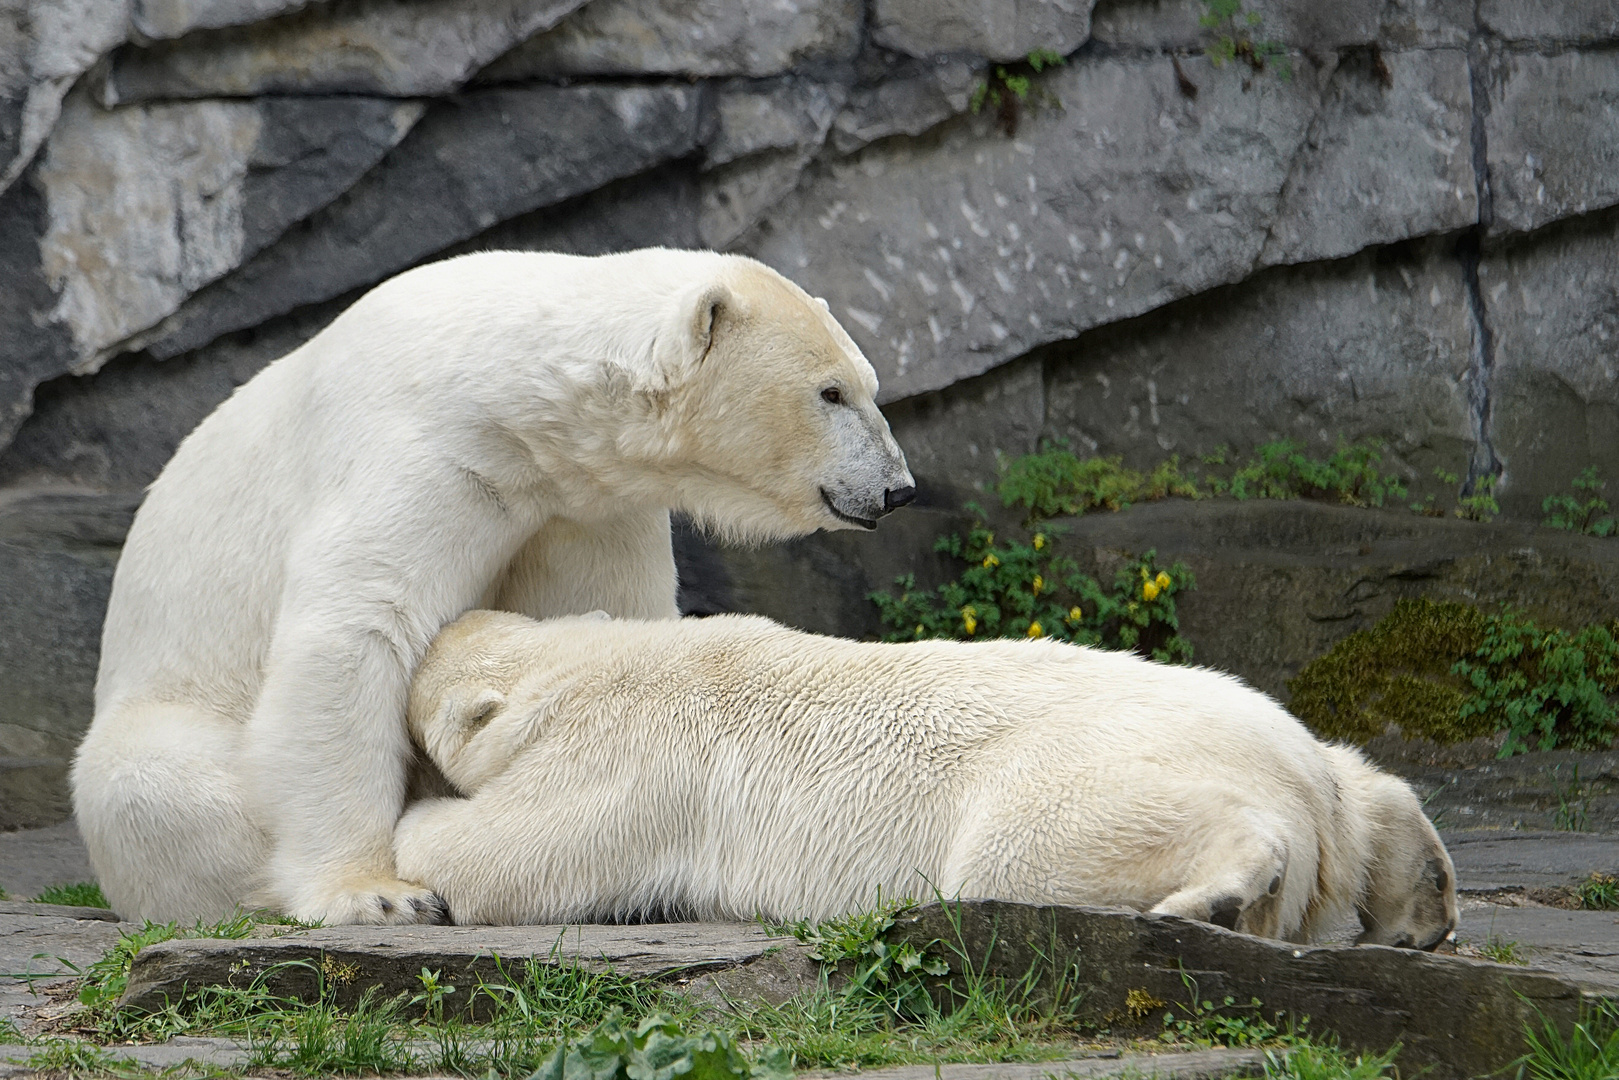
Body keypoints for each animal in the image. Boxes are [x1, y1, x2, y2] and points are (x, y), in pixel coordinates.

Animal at [69, 249, 919, 926]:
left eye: (868, 384)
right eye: (831, 393)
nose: (897, 489)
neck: (507, 394)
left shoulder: (579, 503)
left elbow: (596, 618)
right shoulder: (420, 451)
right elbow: (353, 630)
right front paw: (376, 894)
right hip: (163, 728)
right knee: (156, 781)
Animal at [391, 612, 1457, 952]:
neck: (573, 662)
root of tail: (1293, 778)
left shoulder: (625, 758)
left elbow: (509, 855)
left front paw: (411, 844)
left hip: (1071, 778)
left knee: (1027, 851)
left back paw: (1213, 900)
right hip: (1316, 766)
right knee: (1372, 788)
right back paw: (1421, 904)